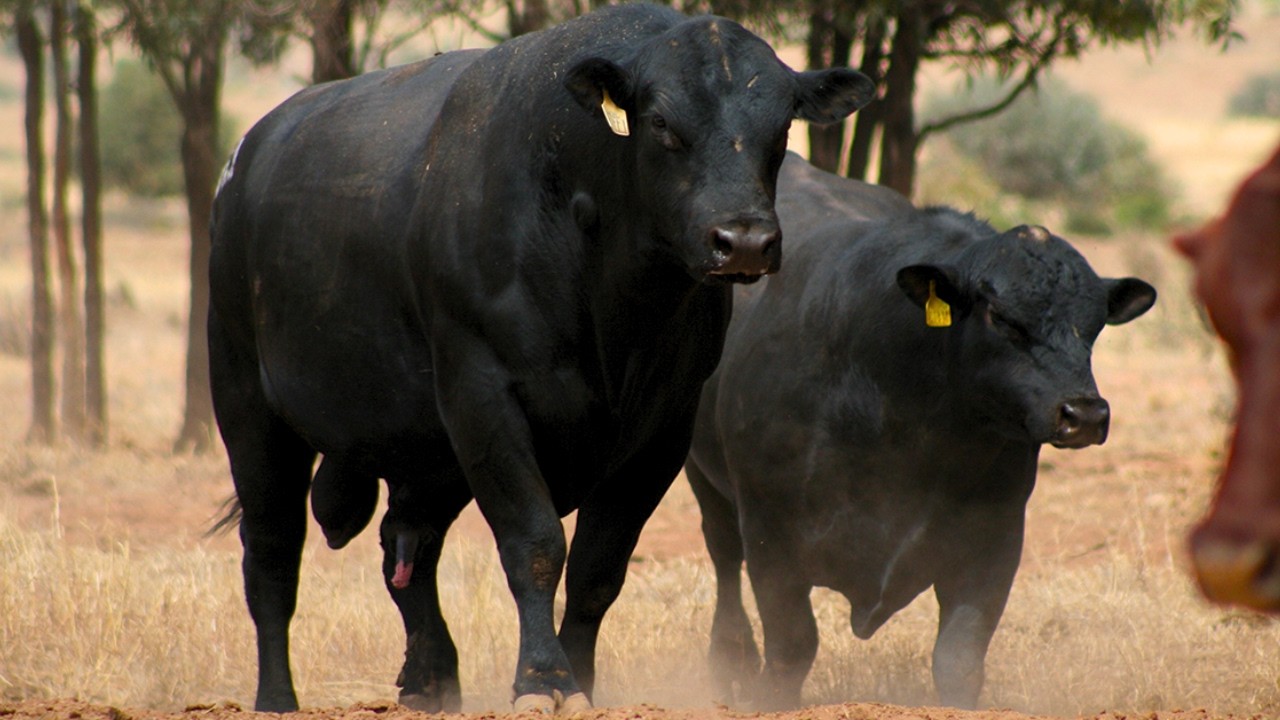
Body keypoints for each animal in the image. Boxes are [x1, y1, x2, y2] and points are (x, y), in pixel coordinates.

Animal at [208, 4, 875, 714]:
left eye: (781, 127)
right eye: (662, 122)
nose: (744, 240)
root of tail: (245, 158)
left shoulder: (664, 426)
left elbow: (598, 567)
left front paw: (579, 676)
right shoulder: (484, 397)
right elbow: (534, 544)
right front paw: (543, 679)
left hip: (429, 453)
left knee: (406, 544)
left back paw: (431, 678)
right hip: (248, 405)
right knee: (272, 555)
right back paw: (277, 695)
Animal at [684, 154, 1157, 710]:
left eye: (1095, 324)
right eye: (1002, 318)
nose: (1083, 413)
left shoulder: (993, 540)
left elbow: (959, 659)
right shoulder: (770, 535)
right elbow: (790, 650)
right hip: (704, 477)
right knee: (724, 559)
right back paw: (730, 660)